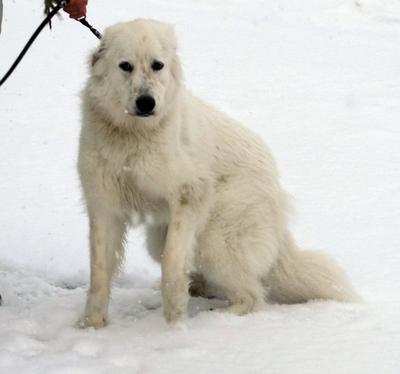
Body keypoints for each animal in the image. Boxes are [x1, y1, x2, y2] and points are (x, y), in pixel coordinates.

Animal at [76, 19, 358, 328]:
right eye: (125, 66)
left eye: (157, 65)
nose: (146, 102)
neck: (132, 134)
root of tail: (276, 190)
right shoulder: (104, 207)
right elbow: (99, 273)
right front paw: (91, 325)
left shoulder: (190, 194)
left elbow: (172, 261)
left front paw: (173, 320)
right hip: (161, 237)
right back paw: (197, 288)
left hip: (215, 240)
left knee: (252, 296)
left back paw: (212, 320)